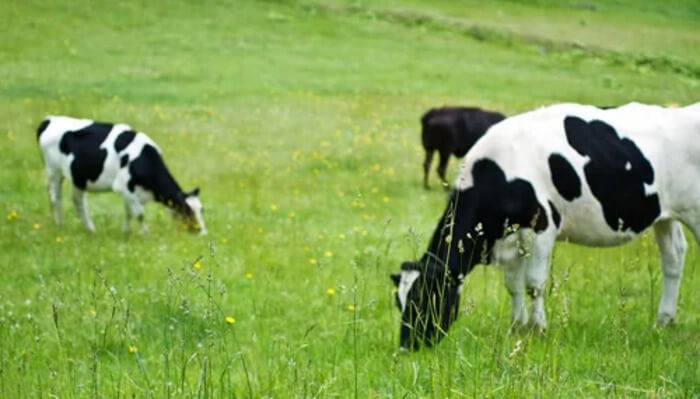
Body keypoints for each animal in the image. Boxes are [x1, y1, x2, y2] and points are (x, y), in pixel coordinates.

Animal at [38, 115, 206, 234]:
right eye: (188, 212)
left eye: (201, 210)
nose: (203, 232)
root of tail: (49, 119)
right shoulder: (123, 186)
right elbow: (139, 213)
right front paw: (145, 234)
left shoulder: (131, 190)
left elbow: (129, 212)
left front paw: (126, 232)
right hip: (54, 171)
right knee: (55, 199)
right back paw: (60, 225)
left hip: (78, 177)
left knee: (78, 200)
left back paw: (90, 229)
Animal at [394, 102, 700, 350]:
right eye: (400, 303)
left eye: (423, 300)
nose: (407, 347)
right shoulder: (509, 237)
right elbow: (513, 285)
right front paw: (517, 326)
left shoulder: (542, 226)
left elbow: (534, 284)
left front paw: (538, 328)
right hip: (665, 215)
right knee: (674, 258)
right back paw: (664, 321)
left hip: (694, 211)